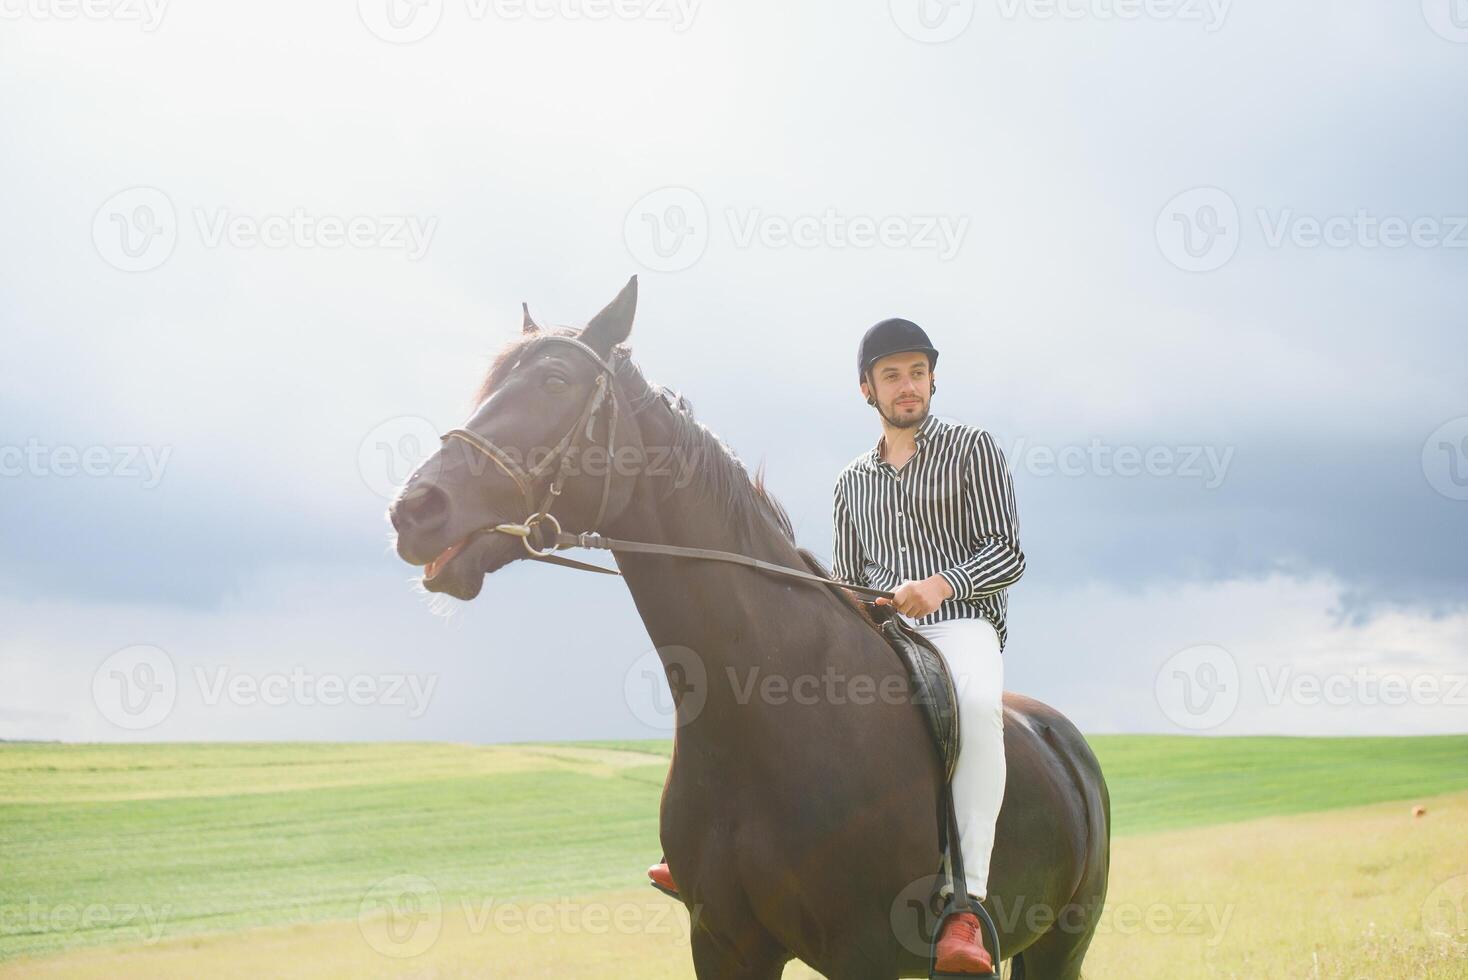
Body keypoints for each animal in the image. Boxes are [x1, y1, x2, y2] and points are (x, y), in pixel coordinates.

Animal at [390, 277, 1109, 979]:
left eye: (556, 382)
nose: (413, 510)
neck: (769, 705)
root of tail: (1066, 742)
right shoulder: (724, 945)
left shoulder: (863, 953)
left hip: (1061, 948)